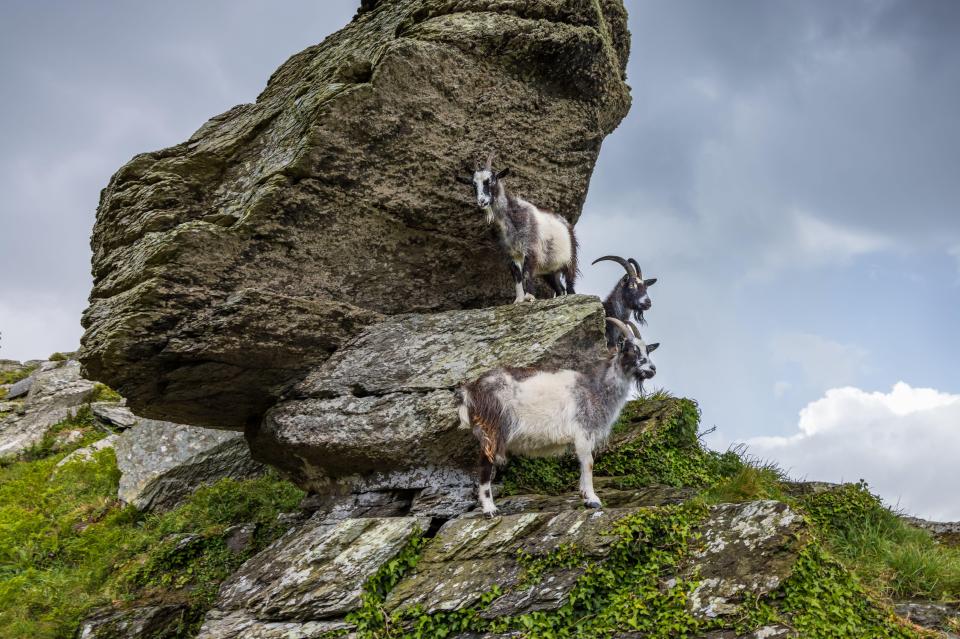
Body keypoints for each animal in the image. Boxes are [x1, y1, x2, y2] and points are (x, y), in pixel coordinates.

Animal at [458, 155, 576, 304]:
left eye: (491, 180)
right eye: (473, 184)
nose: (482, 202)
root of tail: (566, 223)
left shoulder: (530, 249)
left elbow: (526, 272)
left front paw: (529, 296)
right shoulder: (511, 254)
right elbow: (517, 276)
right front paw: (518, 300)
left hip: (570, 259)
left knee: (570, 282)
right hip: (549, 269)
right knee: (559, 288)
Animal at [458, 318, 660, 516]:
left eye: (647, 350)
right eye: (630, 349)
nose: (652, 369)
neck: (595, 387)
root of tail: (472, 390)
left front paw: (585, 495)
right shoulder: (583, 432)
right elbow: (588, 463)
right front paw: (593, 499)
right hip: (491, 429)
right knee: (485, 464)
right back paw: (489, 509)